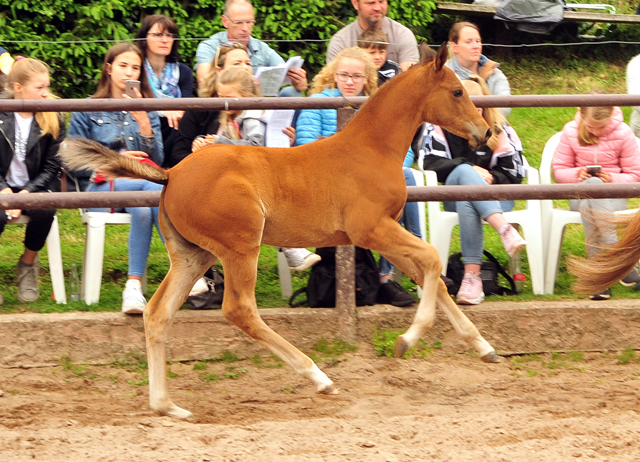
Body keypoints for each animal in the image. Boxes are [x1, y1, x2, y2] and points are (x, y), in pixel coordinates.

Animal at [61, 45, 500, 420]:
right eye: (457, 91)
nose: (485, 133)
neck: (372, 149)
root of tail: (170, 173)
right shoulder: (370, 229)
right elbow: (432, 260)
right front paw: (406, 340)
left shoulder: (383, 233)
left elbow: (433, 279)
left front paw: (485, 348)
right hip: (240, 247)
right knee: (239, 309)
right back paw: (318, 377)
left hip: (192, 254)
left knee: (158, 314)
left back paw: (168, 406)